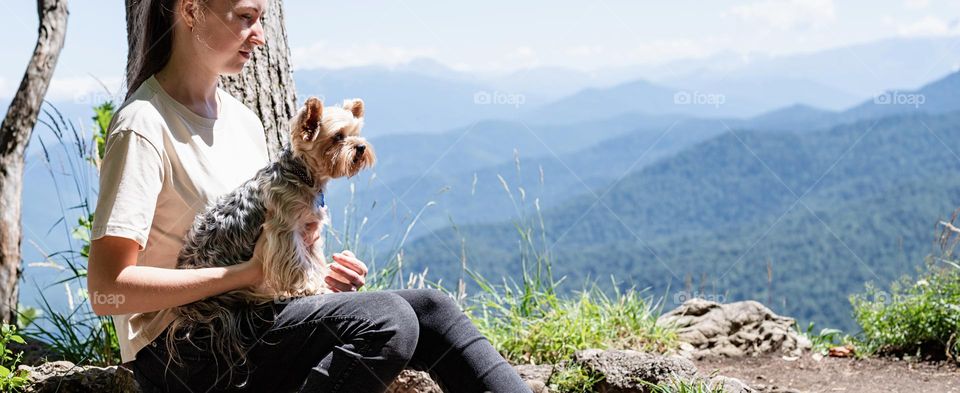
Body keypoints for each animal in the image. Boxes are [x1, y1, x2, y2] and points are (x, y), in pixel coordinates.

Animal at [165, 96, 376, 372]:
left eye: (356, 133)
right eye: (338, 136)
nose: (361, 147)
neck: (303, 175)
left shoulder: (308, 232)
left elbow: (314, 261)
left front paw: (320, 281)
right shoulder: (285, 230)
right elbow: (298, 264)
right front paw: (309, 288)